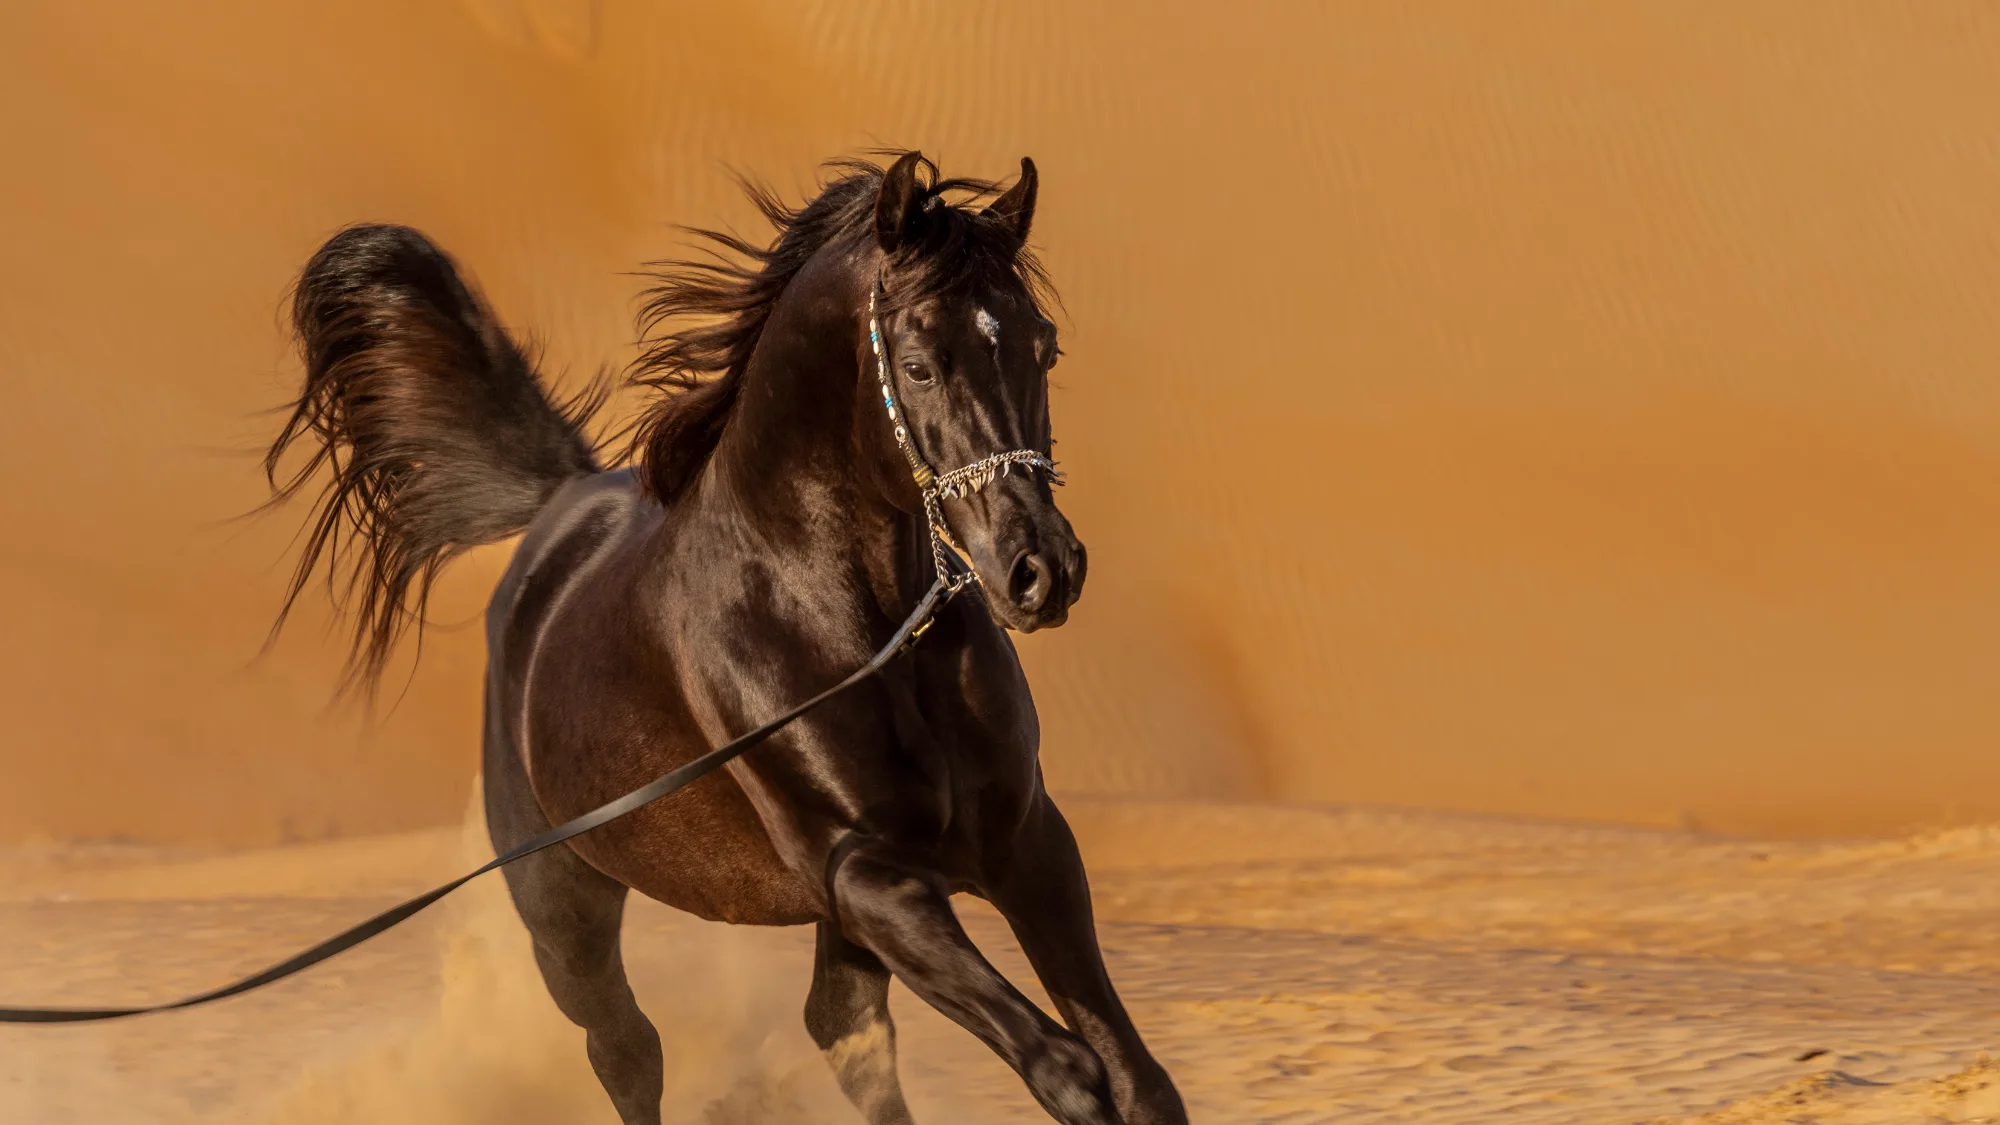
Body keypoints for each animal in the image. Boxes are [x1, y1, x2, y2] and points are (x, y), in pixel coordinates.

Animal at [263, 151, 1188, 1125]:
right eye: (920, 365)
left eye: (1044, 346)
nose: (1040, 568)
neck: (852, 628)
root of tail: (561, 506)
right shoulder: (868, 874)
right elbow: (1069, 1068)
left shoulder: (1024, 845)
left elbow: (1138, 1077)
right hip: (567, 913)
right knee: (630, 1051)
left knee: (839, 1026)